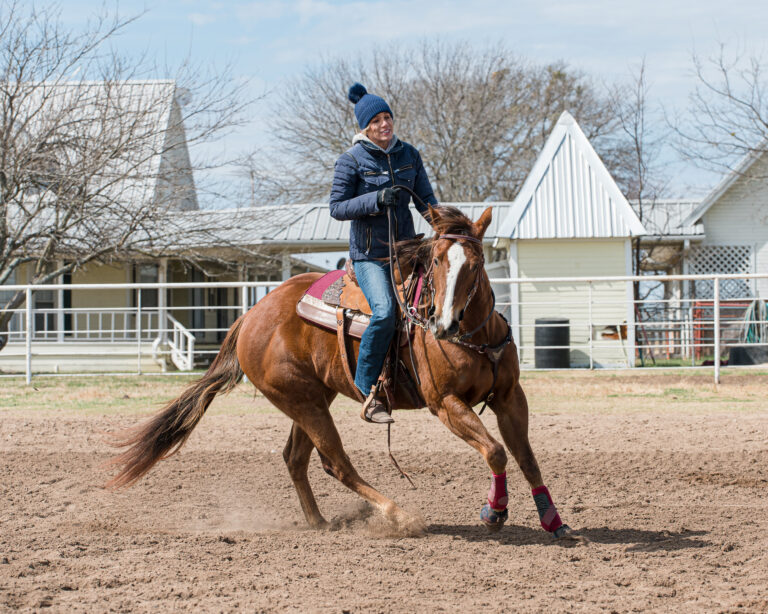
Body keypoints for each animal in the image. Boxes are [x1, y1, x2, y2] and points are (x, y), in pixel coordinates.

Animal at [108, 205, 572, 539]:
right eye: (437, 261)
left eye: (474, 263)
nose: (443, 324)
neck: (472, 334)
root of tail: (251, 314)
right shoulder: (444, 403)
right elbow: (495, 451)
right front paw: (494, 513)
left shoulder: (510, 397)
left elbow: (526, 458)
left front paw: (553, 520)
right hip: (304, 403)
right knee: (336, 462)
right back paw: (398, 515)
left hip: (310, 398)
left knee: (295, 458)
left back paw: (319, 522)